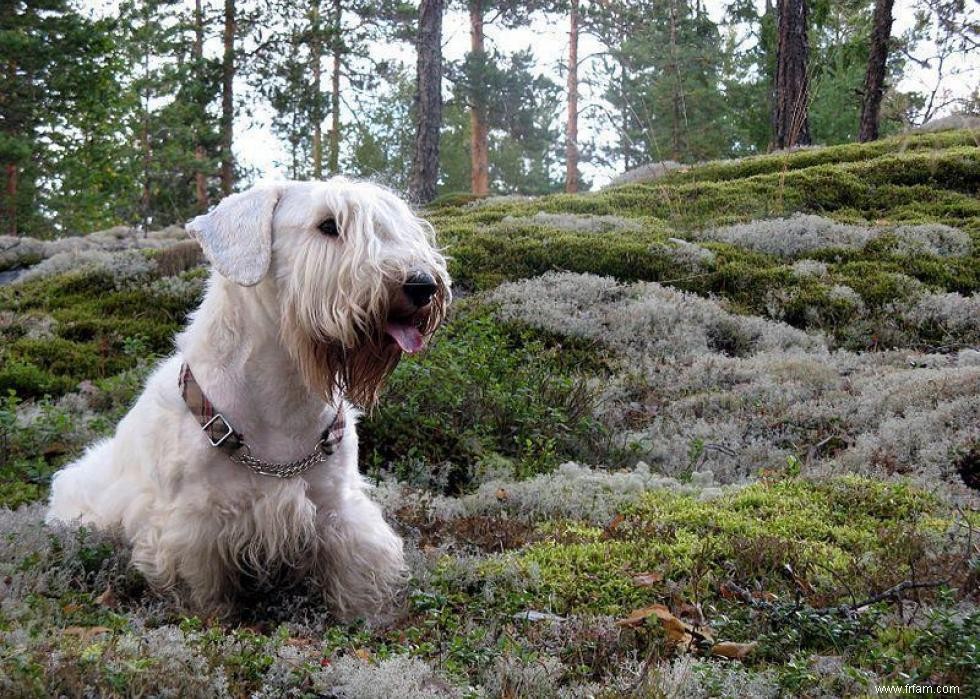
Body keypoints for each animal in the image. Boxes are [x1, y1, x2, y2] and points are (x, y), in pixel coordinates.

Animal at [42, 180, 448, 616]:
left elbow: (354, 571)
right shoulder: (191, 525)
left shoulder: (336, 505)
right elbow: (202, 588)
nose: (423, 285)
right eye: (328, 225)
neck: (283, 396)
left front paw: (367, 616)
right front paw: (211, 617)